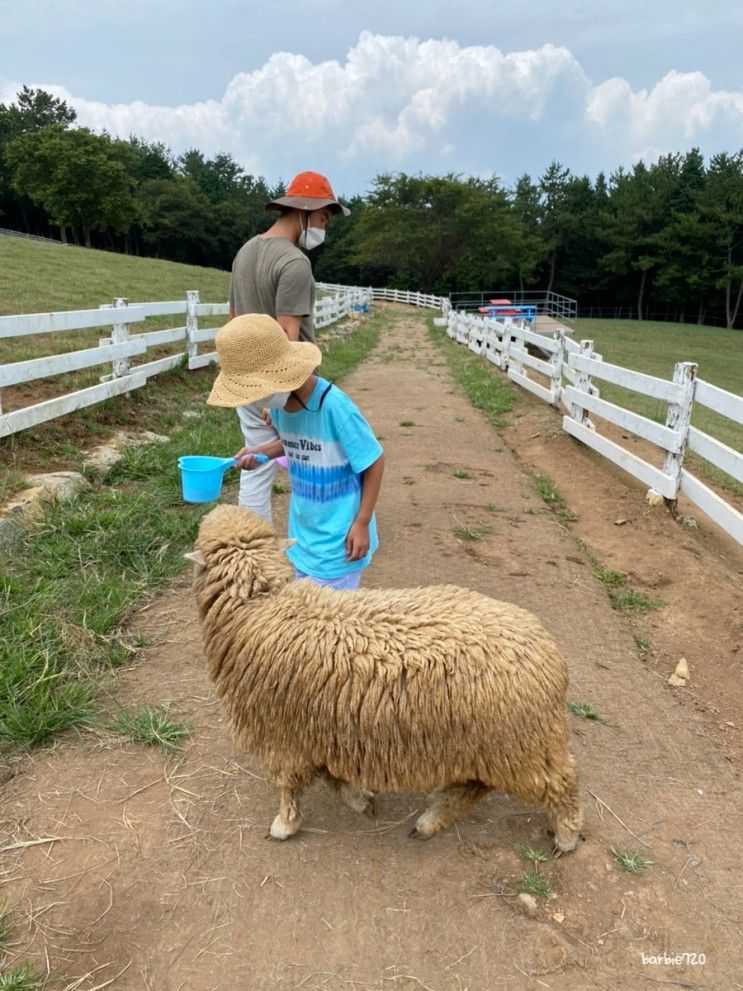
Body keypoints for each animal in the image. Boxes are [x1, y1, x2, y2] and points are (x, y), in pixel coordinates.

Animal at [186, 504, 580, 852]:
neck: (263, 603)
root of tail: (552, 657)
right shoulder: (319, 730)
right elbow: (332, 776)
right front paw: (359, 799)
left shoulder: (280, 734)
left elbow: (289, 787)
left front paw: (284, 825)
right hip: (491, 744)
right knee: (476, 785)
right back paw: (432, 817)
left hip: (521, 745)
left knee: (561, 785)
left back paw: (567, 836)